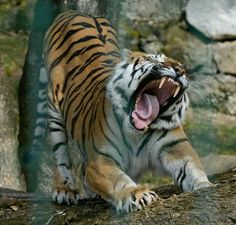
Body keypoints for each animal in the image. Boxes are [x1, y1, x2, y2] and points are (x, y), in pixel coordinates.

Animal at [42, 11, 212, 213]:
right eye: (156, 59)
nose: (180, 70)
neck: (137, 132)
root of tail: (77, 13)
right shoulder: (100, 161)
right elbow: (118, 181)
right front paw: (138, 194)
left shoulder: (174, 146)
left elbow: (192, 169)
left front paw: (206, 187)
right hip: (54, 110)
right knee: (60, 155)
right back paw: (64, 190)